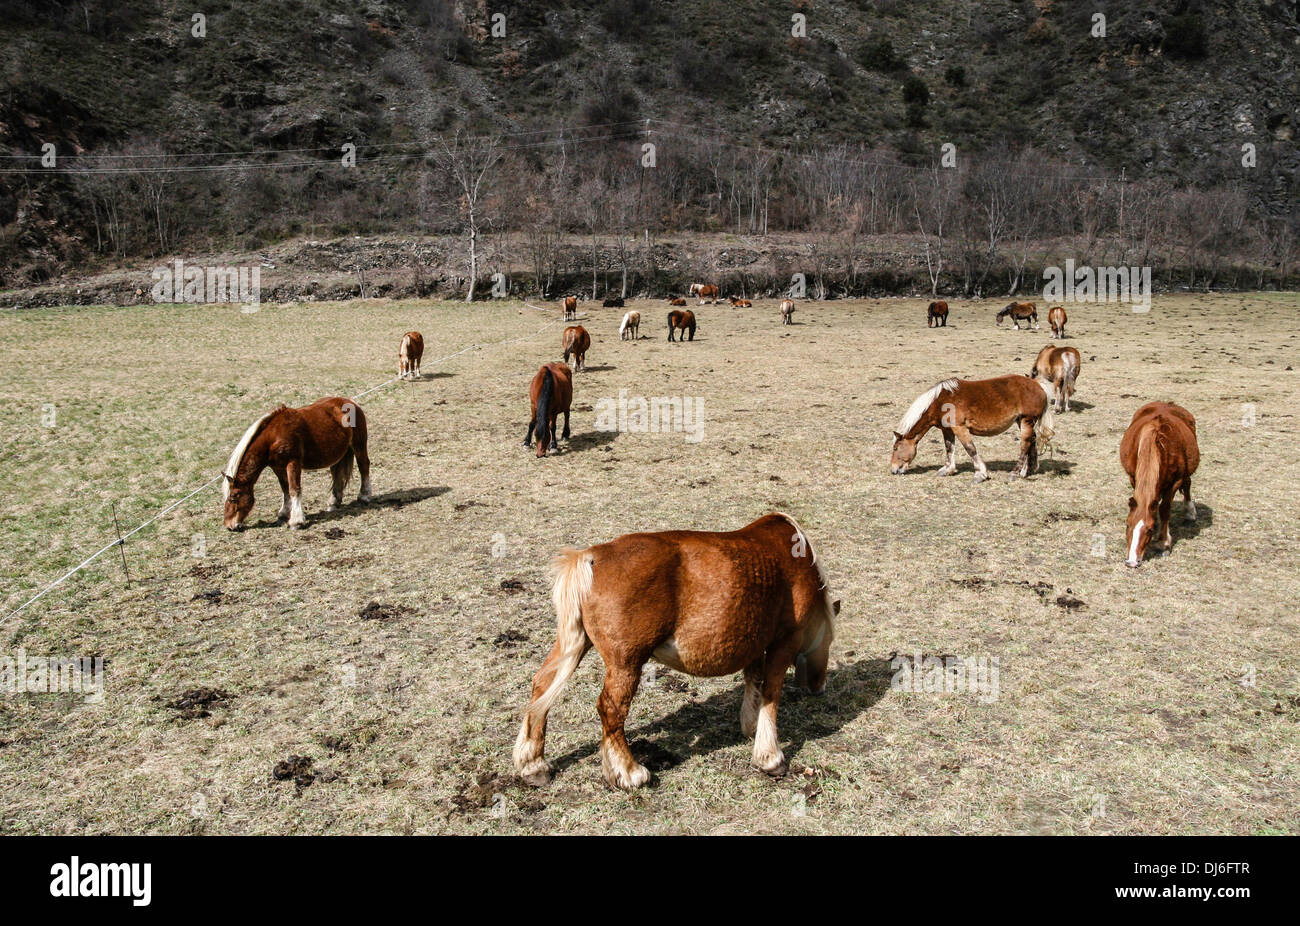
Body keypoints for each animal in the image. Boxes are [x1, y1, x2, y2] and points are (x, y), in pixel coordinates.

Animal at [222, 397, 372, 530]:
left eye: (234, 498)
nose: (229, 526)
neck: (273, 437)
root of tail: (351, 402)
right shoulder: (278, 467)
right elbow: (285, 489)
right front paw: (283, 514)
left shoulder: (293, 463)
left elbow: (294, 489)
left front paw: (296, 521)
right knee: (337, 475)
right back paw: (333, 503)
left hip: (358, 444)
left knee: (364, 466)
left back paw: (364, 496)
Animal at [513, 512, 840, 790]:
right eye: (829, 641)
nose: (819, 685)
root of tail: (590, 556)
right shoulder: (784, 641)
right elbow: (771, 693)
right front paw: (770, 756)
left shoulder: (756, 642)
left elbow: (754, 682)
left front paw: (750, 726)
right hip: (626, 663)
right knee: (611, 710)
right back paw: (630, 772)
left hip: (576, 644)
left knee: (542, 686)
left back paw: (533, 764)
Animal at [890, 375, 1054, 482]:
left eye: (896, 448)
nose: (893, 470)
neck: (941, 401)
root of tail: (1038, 385)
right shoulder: (947, 430)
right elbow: (949, 448)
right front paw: (947, 470)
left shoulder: (960, 428)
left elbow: (970, 449)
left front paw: (980, 474)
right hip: (1022, 421)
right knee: (1031, 442)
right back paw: (1026, 471)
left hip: (1027, 420)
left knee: (1025, 445)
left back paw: (1014, 473)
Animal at [1120, 402, 1200, 567]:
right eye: (1127, 525)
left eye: (1149, 530)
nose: (1132, 562)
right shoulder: (1133, 477)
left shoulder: (1175, 482)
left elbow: (1165, 509)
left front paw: (1163, 544)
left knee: (1187, 485)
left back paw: (1190, 512)